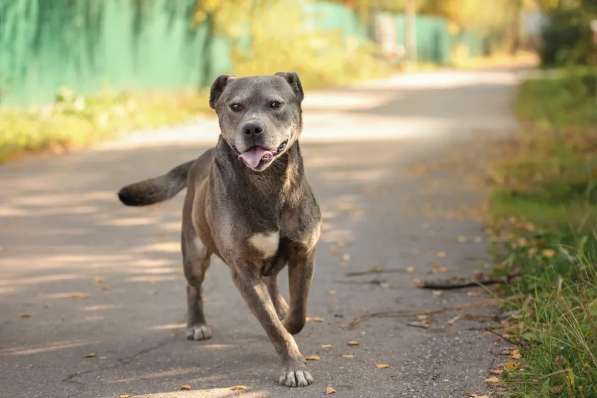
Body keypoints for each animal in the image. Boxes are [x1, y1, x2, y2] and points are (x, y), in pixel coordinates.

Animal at [117, 73, 322, 388]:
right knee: (193, 286)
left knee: (272, 283)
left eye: (275, 104)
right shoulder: (244, 271)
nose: (252, 128)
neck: (268, 184)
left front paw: (288, 320)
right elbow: (272, 326)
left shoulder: (304, 251)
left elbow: (298, 310)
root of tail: (197, 160)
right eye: (235, 106)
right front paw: (293, 365)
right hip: (194, 253)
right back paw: (197, 324)